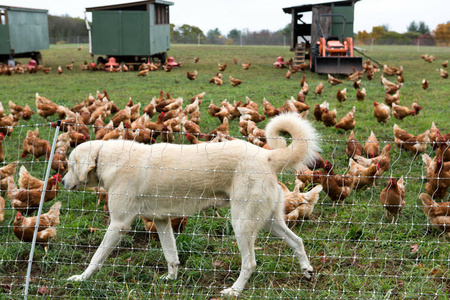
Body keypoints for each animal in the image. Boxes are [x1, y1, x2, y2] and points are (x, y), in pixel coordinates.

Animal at [62, 112, 320, 296]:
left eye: (71, 165)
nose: (63, 182)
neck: (107, 159)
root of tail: (266, 156)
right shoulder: (162, 221)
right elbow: (171, 255)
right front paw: (170, 279)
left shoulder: (118, 224)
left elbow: (96, 257)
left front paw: (81, 278)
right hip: (268, 221)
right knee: (297, 241)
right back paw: (307, 271)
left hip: (242, 224)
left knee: (250, 263)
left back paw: (234, 290)